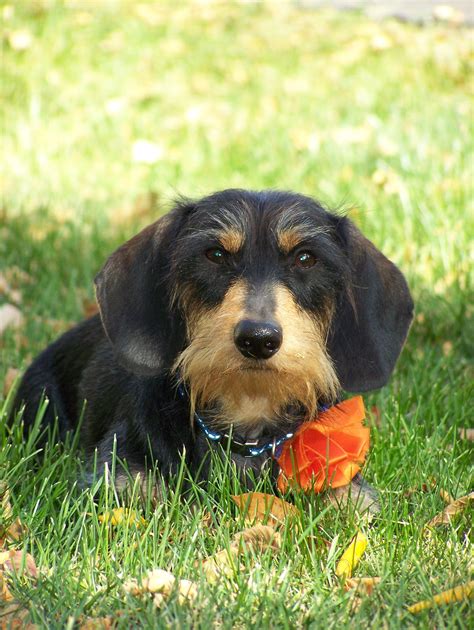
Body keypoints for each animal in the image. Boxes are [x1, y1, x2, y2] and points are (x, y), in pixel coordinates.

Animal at [11, 190, 412, 512]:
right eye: (215, 254)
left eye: (305, 258)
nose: (258, 339)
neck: (247, 425)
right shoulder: (115, 475)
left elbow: (354, 502)